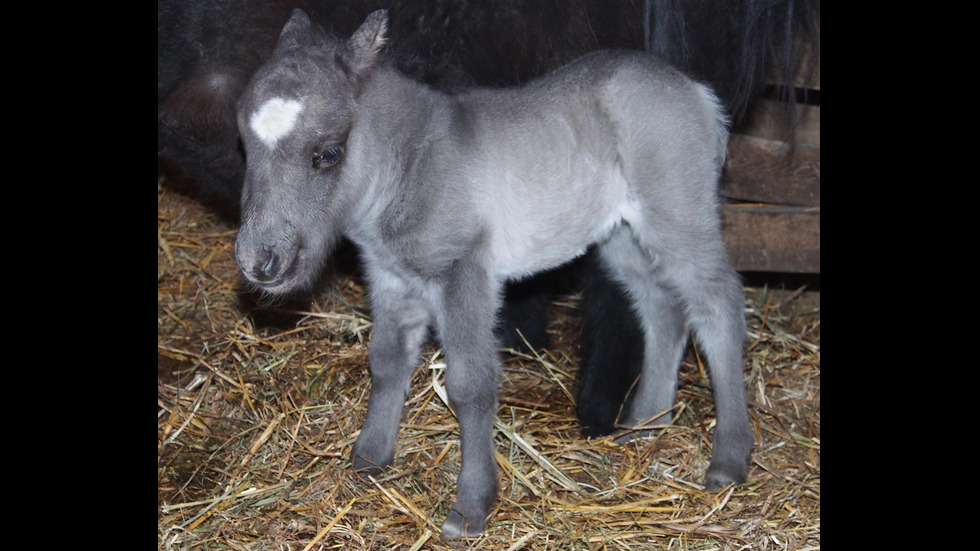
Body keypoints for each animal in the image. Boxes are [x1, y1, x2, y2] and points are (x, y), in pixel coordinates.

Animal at [235, 8, 752, 540]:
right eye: (245, 148)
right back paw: (646, 423)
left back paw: (728, 460)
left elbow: (471, 384)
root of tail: (695, 90)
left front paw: (471, 507)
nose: (260, 261)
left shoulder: (463, 273)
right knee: (663, 308)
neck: (410, 163)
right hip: (620, 236)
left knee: (718, 305)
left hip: (677, 212)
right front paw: (368, 460)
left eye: (328, 153)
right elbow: (385, 362)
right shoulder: (391, 276)